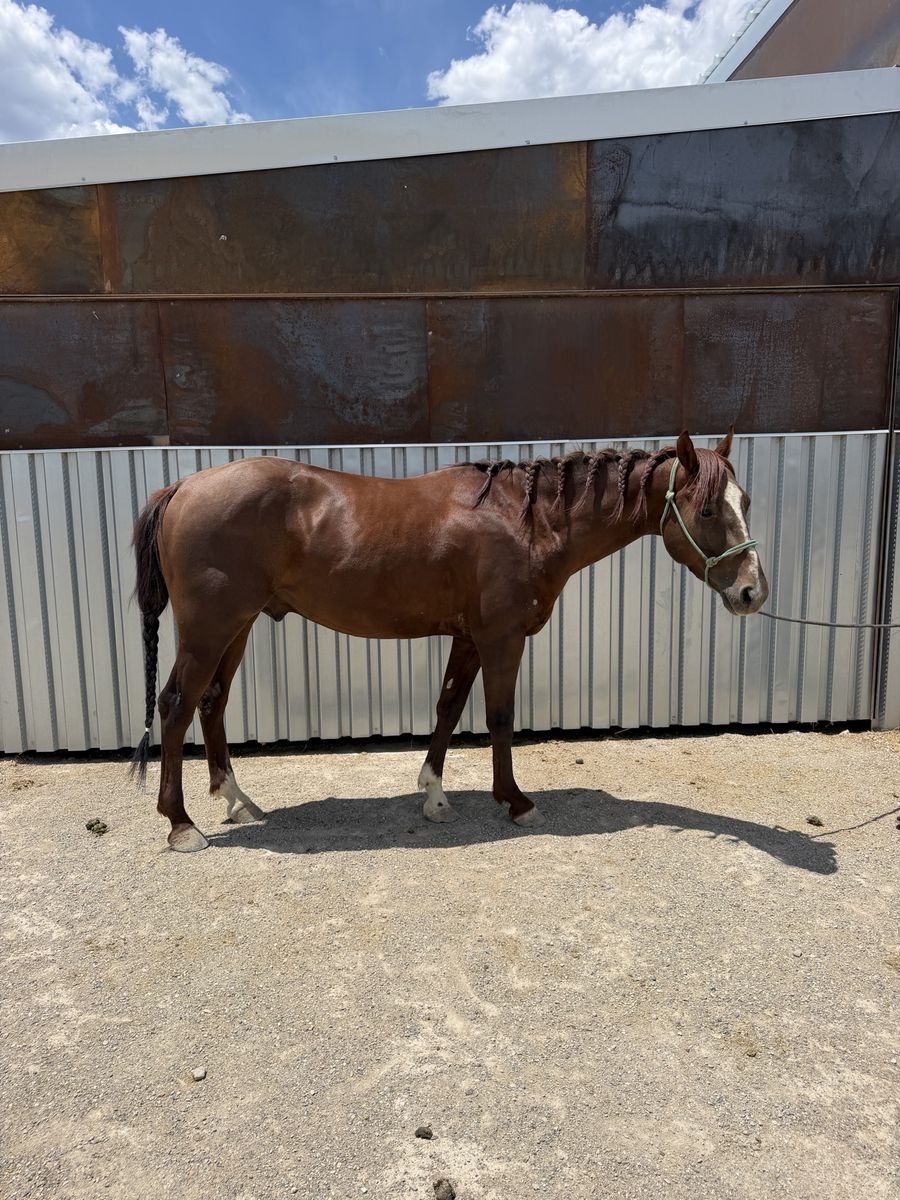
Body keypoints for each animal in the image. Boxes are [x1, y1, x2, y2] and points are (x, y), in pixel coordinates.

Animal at [130, 429, 767, 852]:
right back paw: (181, 823)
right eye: (707, 509)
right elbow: (499, 716)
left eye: (745, 502)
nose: (752, 592)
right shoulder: (501, 637)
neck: (526, 520)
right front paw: (515, 801)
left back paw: (235, 800)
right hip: (210, 629)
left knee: (212, 704)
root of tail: (182, 485)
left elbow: (448, 707)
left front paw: (434, 795)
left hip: (237, 626)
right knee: (176, 706)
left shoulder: (468, 638)